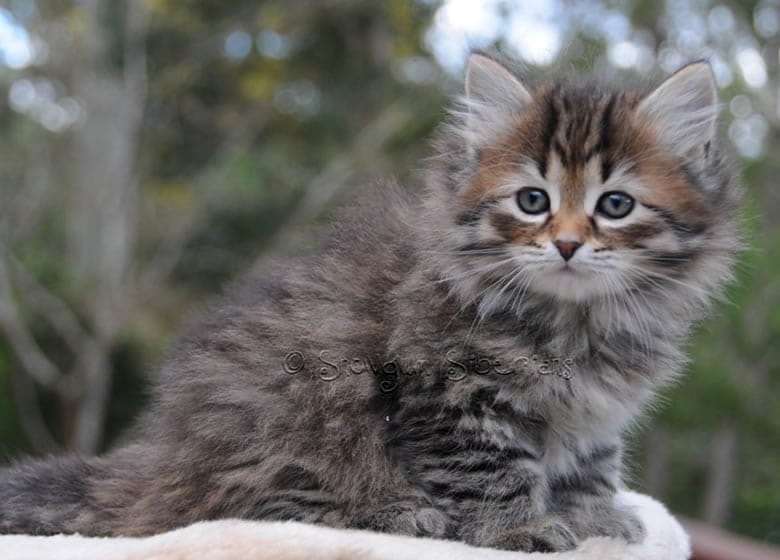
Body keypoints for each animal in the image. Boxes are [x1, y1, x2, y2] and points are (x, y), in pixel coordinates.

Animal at [0, 54, 740, 552]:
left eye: (615, 206)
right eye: (533, 200)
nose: (565, 244)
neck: (575, 318)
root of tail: (163, 458)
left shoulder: (592, 409)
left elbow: (589, 462)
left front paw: (593, 517)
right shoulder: (445, 391)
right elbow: (489, 468)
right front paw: (519, 527)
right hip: (297, 406)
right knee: (243, 504)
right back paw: (396, 514)